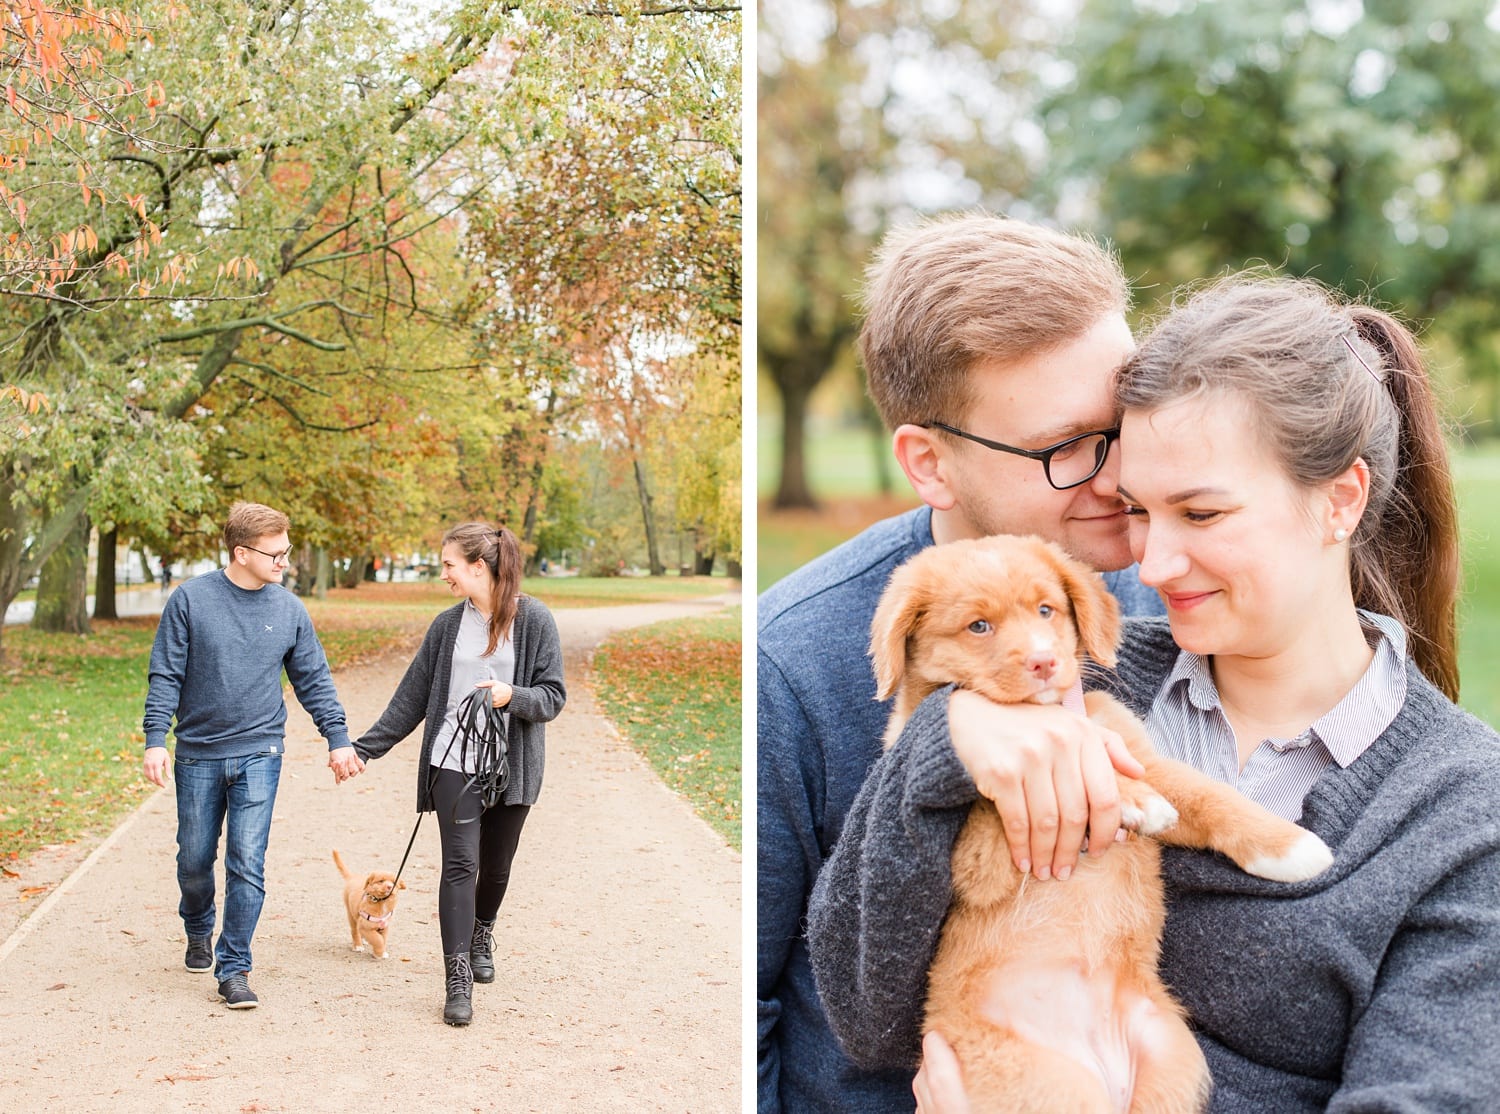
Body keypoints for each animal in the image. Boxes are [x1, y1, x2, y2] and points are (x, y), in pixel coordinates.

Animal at [870, 536, 1338, 1109]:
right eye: (978, 626)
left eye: (1046, 610)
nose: (1045, 661)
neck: (1058, 719)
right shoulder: (975, 863)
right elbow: (1008, 796)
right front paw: (1132, 802)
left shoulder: (1142, 756)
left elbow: (1210, 797)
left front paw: (1290, 847)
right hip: (1053, 1085)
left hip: (1173, 1057)